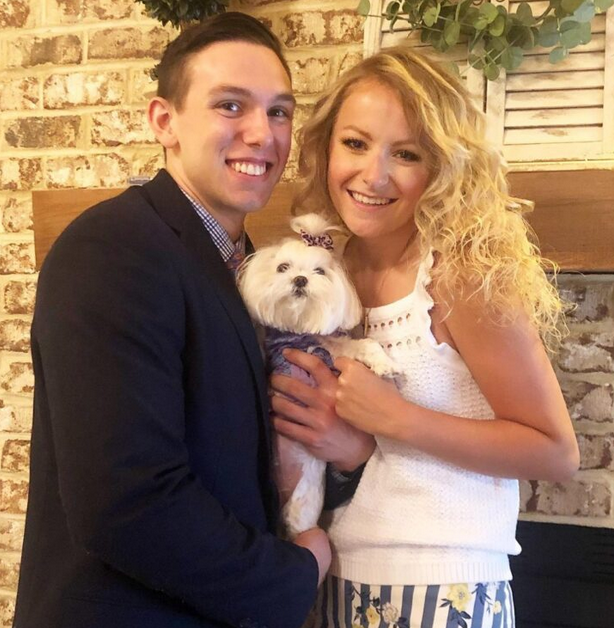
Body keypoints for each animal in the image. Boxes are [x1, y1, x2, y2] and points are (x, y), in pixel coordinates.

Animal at [237, 213, 400, 538]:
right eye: (283, 267)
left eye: (319, 271)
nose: (300, 279)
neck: (298, 332)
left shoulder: (330, 350)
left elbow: (364, 344)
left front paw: (383, 364)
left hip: (303, 511)